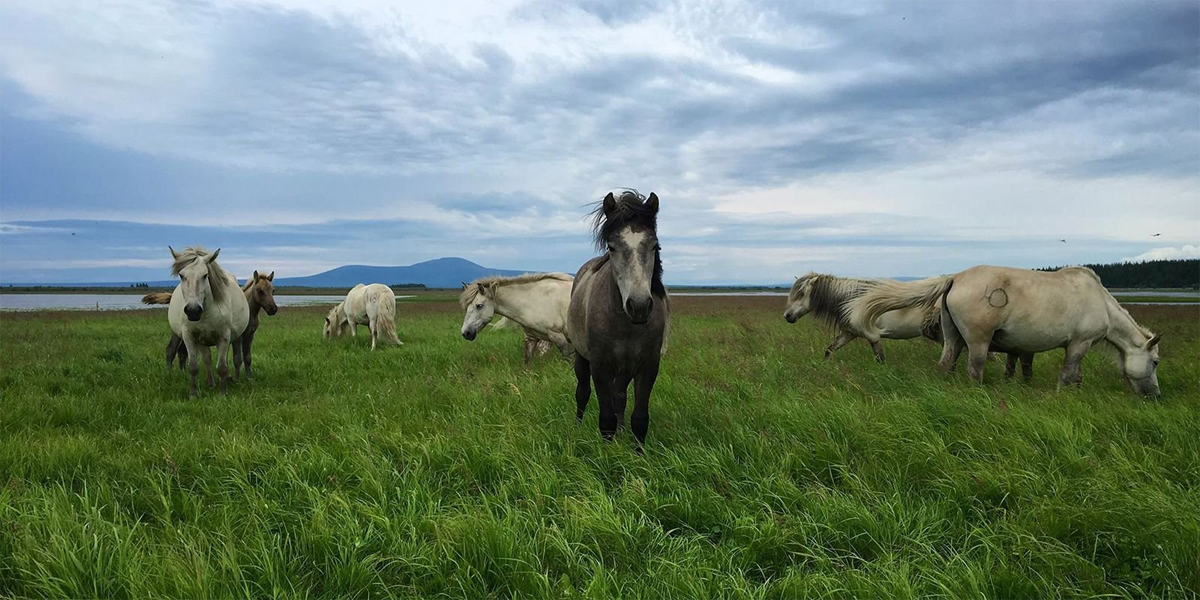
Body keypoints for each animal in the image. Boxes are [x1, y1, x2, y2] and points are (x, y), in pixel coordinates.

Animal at [145, 270, 278, 376]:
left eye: (273, 290)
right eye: (260, 290)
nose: (273, 309)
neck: (250, 312)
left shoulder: (249, 336)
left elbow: (247, 358)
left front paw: (248, 378)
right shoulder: (238, 337)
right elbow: (237, 359)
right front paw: (237, 379)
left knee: (182, 352)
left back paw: (183, 373)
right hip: (177, 332)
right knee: (170, 350)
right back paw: (168, 374)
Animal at [163, 246, 247, 396]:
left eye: (205, 275)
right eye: (181, 275)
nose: (193, 310)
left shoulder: (224, 336)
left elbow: (222, 366)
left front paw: (223, 393)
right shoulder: (189, 336)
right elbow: (193, 366)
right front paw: (193, 393)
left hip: (235, 337)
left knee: (235, 358)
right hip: (199, 340)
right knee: (206, 359)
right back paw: (210, 383)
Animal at [566, 189, 672, 448]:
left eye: (655, 246)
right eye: (612, 247)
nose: (639, 306)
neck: (626, 325)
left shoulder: (648, 366)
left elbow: (639, 418)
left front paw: (639, 453)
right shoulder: (600, 366)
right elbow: (606, 419)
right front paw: (607, 452)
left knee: (620, 397)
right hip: (582, 358)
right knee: (582, 393)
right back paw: (578, 427)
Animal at [849, 265, 1156, 396]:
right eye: (1155, 362)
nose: (1155, 395)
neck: (1100, 301)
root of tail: (955, 277)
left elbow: (1070, 374)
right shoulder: (1079, 345)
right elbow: (1068, 373)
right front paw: (1064, 396)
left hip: (953, 340)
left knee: (946, 364)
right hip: (978, 343)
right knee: (975, 370)